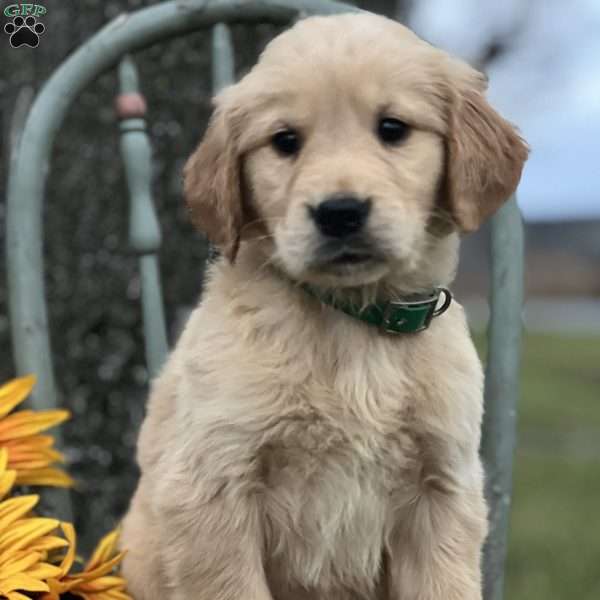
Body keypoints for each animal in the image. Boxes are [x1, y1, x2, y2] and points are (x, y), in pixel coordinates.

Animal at [119, 10, 528, 600]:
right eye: (284, 141)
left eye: (392, 129)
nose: (340, 212)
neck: (351, 321)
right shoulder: (211, 486)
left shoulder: (443, 490)